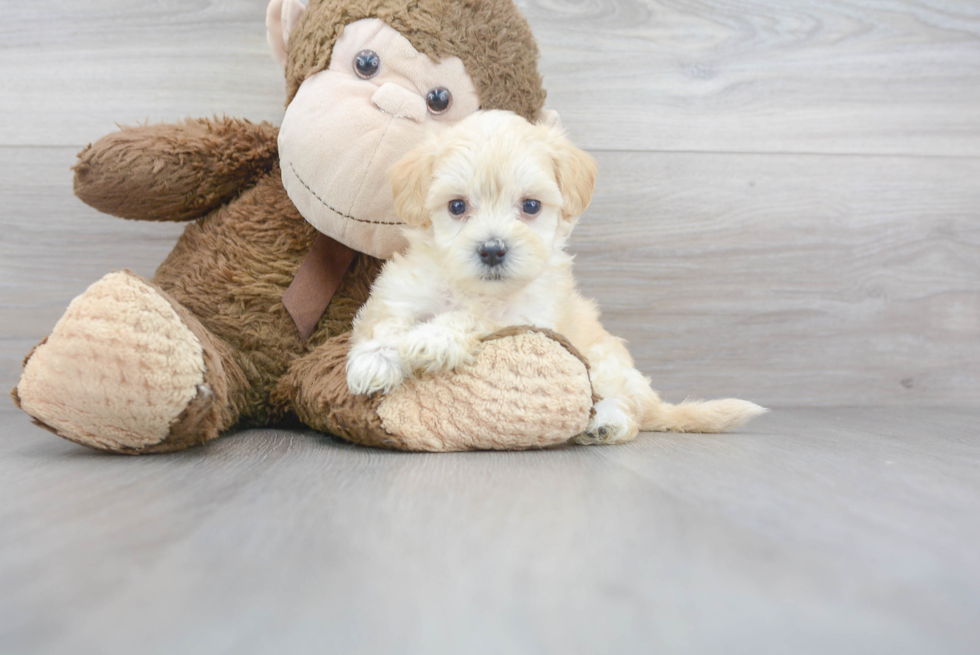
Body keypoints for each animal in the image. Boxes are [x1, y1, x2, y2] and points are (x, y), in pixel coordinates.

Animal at [344, 111, 764, 446]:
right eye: (457, 206)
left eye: (531, 205)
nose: (492, 249)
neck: (472, 288)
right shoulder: (402, 290)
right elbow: (385, 321)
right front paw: (374, 361)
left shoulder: (524, 317)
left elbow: (474, 317)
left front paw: (433, 338)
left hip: (606, 364)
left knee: (626, 411)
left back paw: (606, 423)